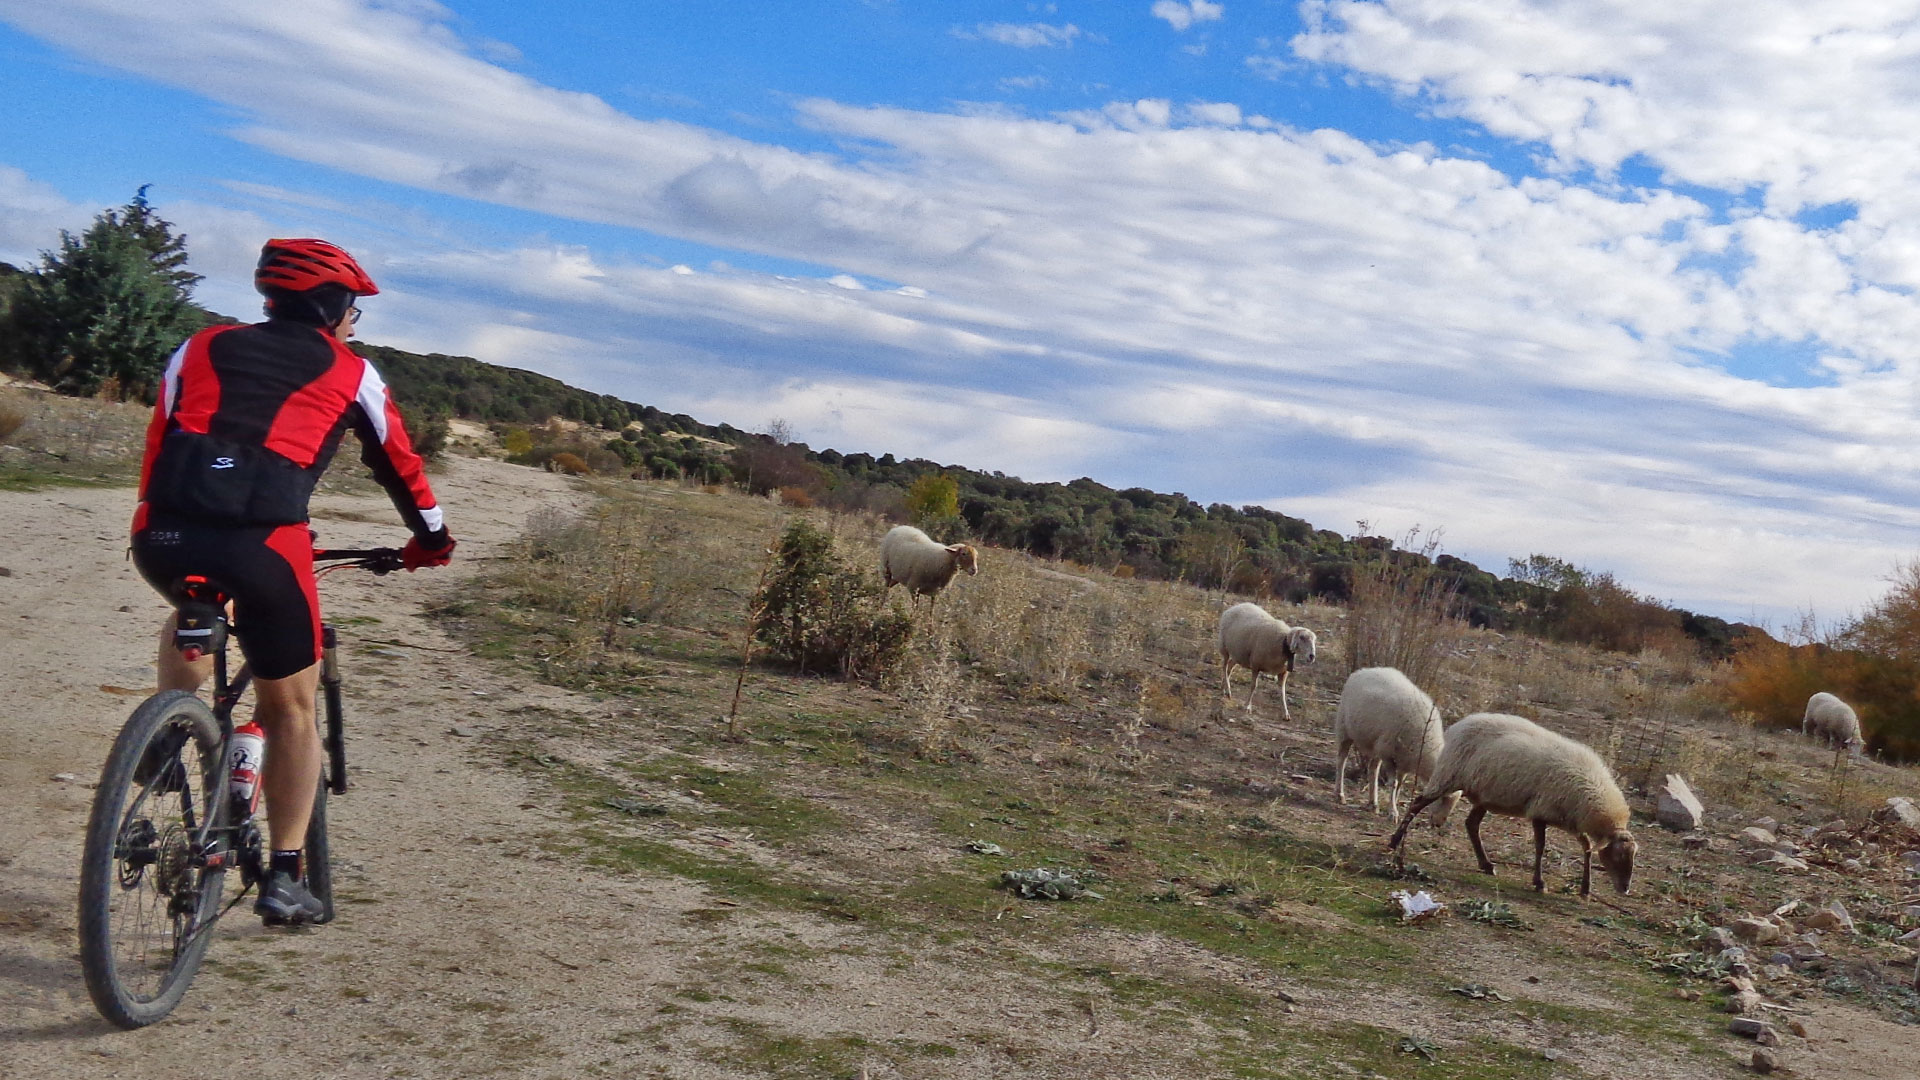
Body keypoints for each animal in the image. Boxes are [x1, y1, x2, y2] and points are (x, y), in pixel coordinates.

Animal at [1336, 661, 1451, 818]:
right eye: (1443, 799)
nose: (1439, 823)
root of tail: (1362, 671)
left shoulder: (1405, 761)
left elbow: (1400, 785)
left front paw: (1393, 806)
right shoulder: (1388, 754)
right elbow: (1394, 784)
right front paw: (1393, 812)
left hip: (1378, 744)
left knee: (1373, 769)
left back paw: (1373, 803)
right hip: (1345, 730)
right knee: (1342, 760)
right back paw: (1340, 794)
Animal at [1390, 711, 1643, 895]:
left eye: (1633, 856)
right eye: (1618, 856)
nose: (1625, 889)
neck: (1593, 790)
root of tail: (1461, 723)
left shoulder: (1569, 819)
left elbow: (1586, 847)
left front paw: (1585, 888)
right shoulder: (1541, 811)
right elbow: (1541, 846)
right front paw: (1539, 882)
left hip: (1483, 792)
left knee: (1472, 824)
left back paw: (1486, 864)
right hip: (1449, 775)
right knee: (1417, 803)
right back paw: (1394, 841)